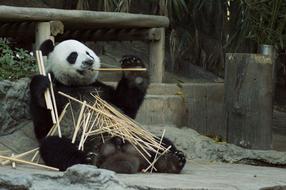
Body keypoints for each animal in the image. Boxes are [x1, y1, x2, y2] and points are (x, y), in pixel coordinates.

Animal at [29, 39, 185, 173]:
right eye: (73, 55)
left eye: (88, 53)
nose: (89, 61)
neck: (77, 84)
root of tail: (116, 155)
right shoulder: (58, 92)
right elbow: (44, 126)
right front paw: (41, 85)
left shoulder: (102, 90)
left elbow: (125, 107)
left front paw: (134, 69)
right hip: (81, 142)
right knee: (54, 146)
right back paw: (88, 160)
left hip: (135, 137)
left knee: (160, 142)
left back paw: (171, 161)